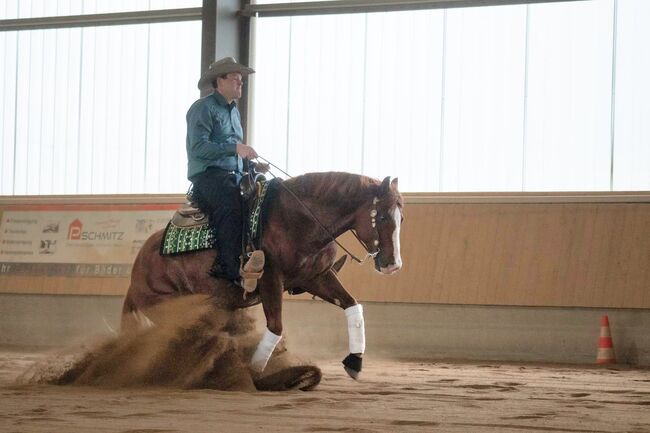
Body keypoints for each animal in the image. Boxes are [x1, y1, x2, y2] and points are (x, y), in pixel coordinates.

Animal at [121, 170, 400, 376]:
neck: (299, 219)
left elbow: (353, 306)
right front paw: (255, 374)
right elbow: (275, 327)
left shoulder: (316, 277)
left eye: (402, 218)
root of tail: (136, 275)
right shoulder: (270, 280)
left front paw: (354, 361)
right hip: (170, 306)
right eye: (383, 217)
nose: (393, 265)